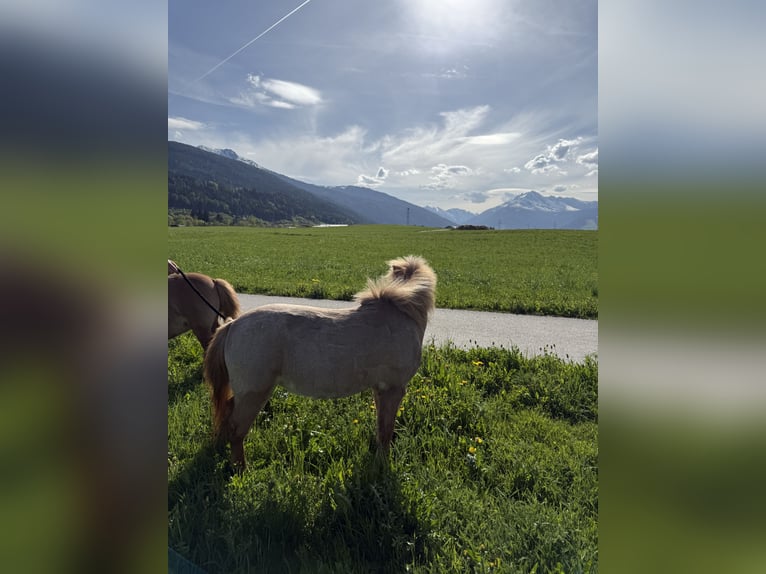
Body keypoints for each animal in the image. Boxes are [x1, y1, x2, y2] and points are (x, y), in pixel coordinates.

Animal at [203, 255, 437, 469]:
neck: (400, 315)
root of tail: (233, 325)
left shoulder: (380, 389)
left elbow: (380, 427)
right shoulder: (393, 388)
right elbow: (386, 430)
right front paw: (383, 464)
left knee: (227, 410)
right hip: (255, 393)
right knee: (237, 428)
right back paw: (240, 469)